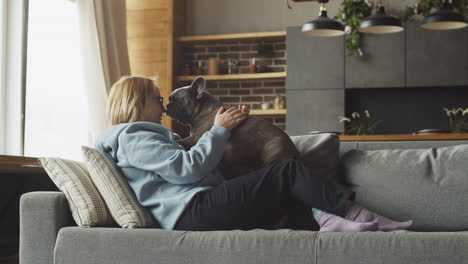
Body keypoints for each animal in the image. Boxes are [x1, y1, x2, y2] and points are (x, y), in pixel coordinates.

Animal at [165, 76, 300, 175]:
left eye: (176, 100)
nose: (167, 105)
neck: (201, 110)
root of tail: (294, 151)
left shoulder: (196, 138)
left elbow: (183, 141)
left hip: (273, 150)